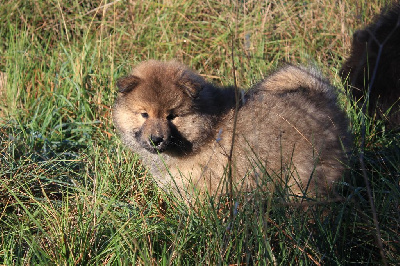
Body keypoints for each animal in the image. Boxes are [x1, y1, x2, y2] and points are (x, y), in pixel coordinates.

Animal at [112, 60, 350, 197]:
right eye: (144, 114)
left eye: (172, 116)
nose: (156, 139)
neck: (205, 128)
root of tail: (323, 100)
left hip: (303, 178)